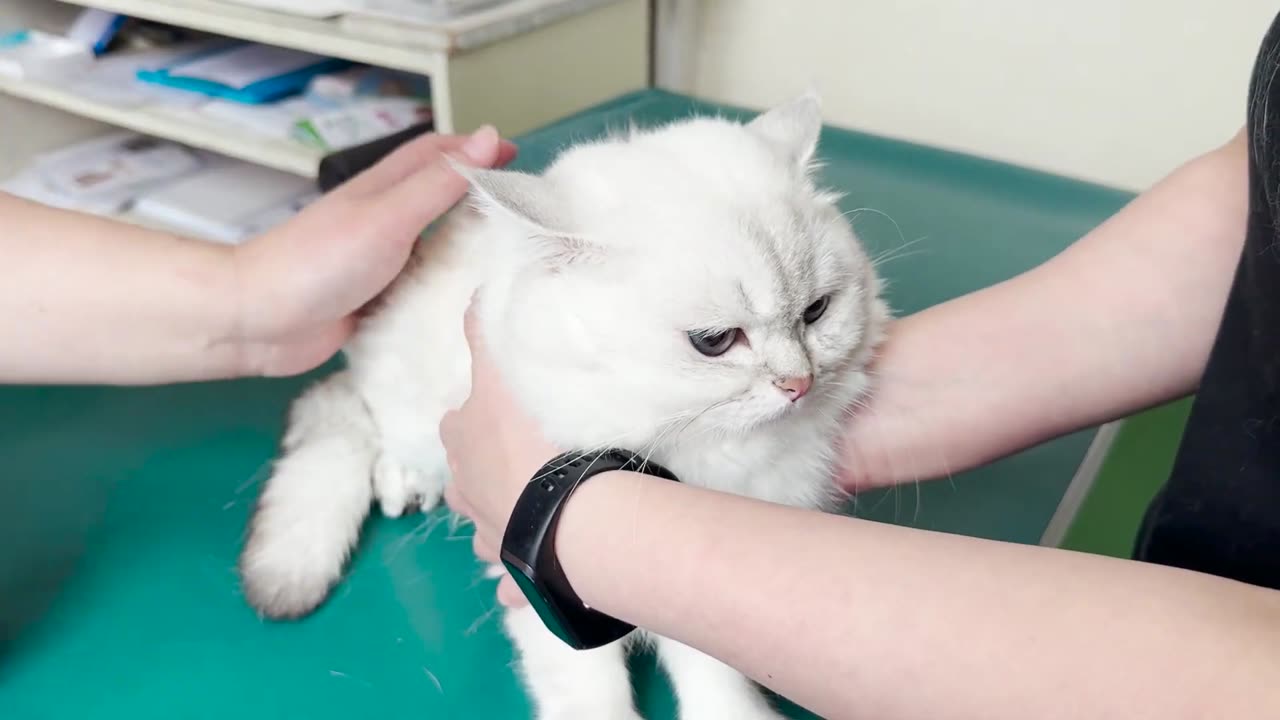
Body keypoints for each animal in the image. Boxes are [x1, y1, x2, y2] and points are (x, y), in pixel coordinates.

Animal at [244, 92, 896, 712]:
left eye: (817, 312)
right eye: (715, 342)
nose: (799, 383)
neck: (703, 453)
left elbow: (717, 682)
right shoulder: (544, 607)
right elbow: (591, 698)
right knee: (374, 429)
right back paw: (409, 482)